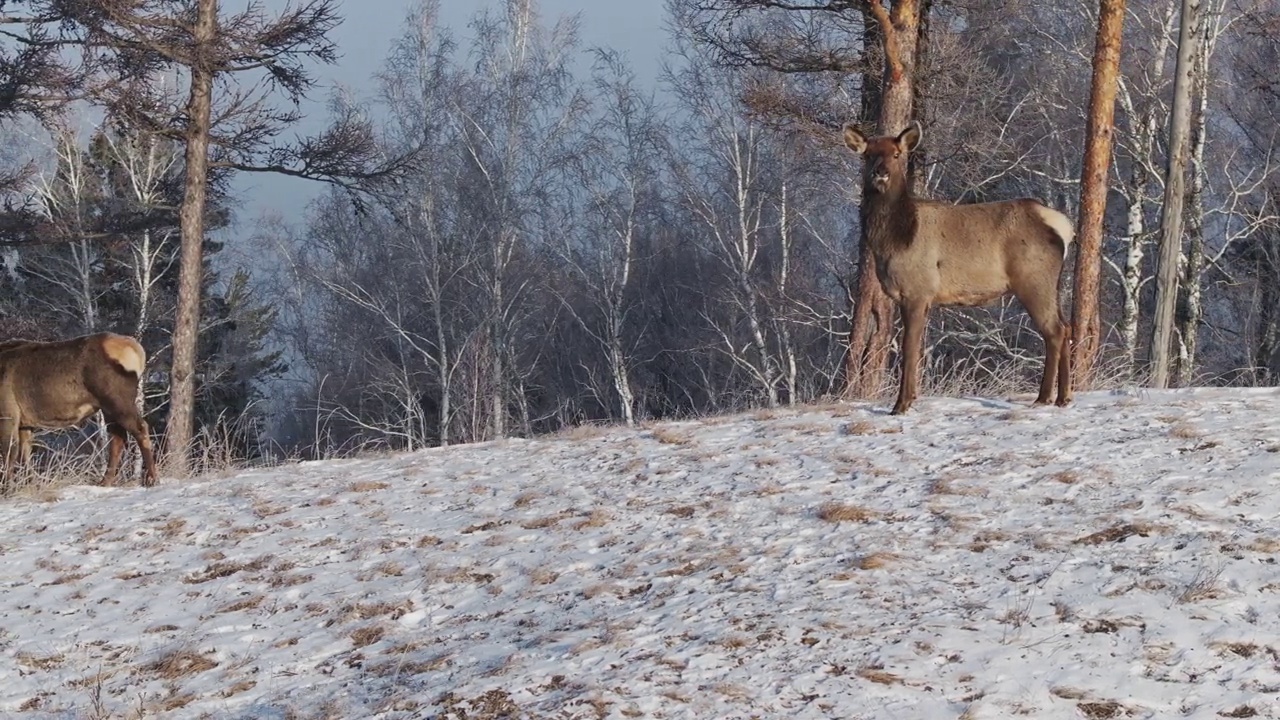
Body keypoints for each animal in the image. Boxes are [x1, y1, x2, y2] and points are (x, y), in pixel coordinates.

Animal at [0, 330, 158, 486]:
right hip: (108, 407)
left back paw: (151, 478)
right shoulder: (24, 422)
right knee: (118, 436)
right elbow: (25, 453)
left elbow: (9, 452)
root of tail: (138, 350)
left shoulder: (8, 413)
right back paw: (105, 481)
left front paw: (8, 487)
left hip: (118, 400)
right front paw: (31, 484)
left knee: (140, 428)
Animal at [844, 120, 1075, 412]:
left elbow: (909, 348)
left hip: (1034, 280)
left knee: (1054, 331)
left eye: (897, 155)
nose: (880, 173)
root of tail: (1063, 227)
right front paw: (911, 398)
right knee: (1066, 327)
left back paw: (1045, 397)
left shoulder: (918, 290)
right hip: (1051, 284)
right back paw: (1063, 397)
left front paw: (902, 404)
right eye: (867, 155)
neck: (895, 239)